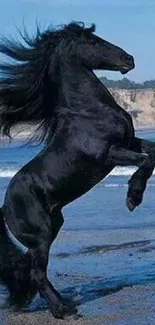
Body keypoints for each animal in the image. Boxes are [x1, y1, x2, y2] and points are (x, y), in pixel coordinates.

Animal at [0, 24, 155, 318]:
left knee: (29, 269)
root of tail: (4, 208)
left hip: (51, 228)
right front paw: (133, 199)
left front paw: (135, 195)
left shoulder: (130, 142)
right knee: (37, 273)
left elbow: (151, 154)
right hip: (41, 236)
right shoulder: (109, 154)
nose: (129, 59)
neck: (88, 111)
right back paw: (64, 309)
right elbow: (145, 161)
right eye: (93, 42)